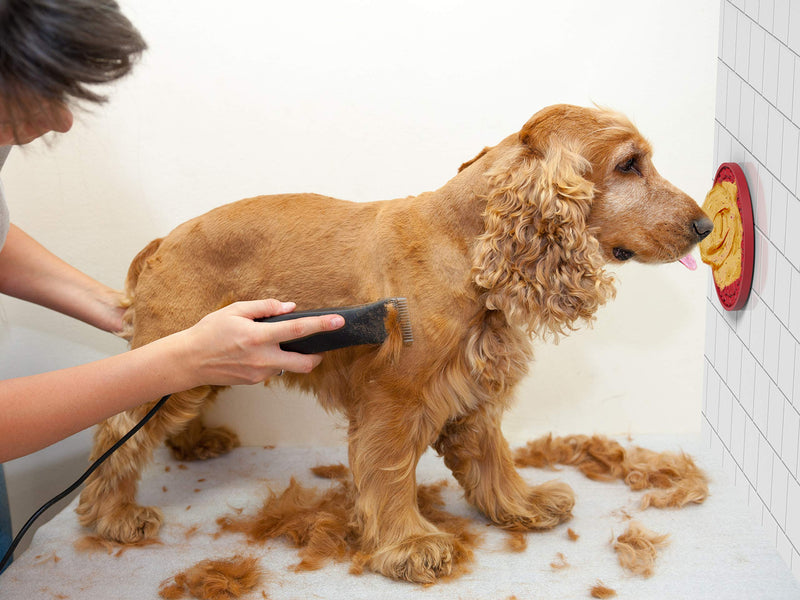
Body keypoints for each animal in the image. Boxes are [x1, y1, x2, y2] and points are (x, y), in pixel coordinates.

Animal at [76, 105, 712, 584]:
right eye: (630, 164)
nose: (706, 227)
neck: (465, 243)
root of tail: (163, 240)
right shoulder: (394, 399)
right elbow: (388, 473)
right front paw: (410, 545)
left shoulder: (473, 392)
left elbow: (492, 458)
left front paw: (520, 506)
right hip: (177, 353)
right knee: (118, 433)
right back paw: (114, 516)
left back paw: (196, 444)